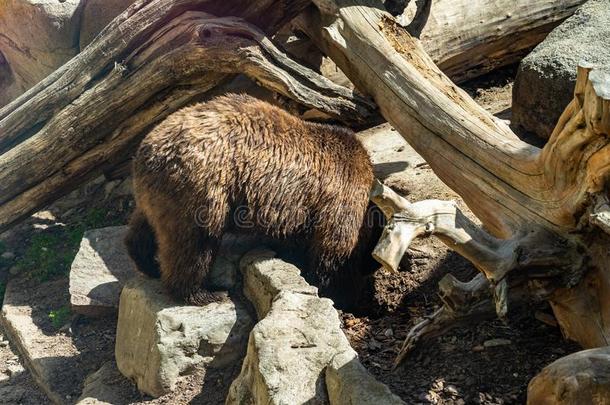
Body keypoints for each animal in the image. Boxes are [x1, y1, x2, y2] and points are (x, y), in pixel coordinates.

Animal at [123, 93, 380, 310]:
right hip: (202, 187)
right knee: (194, 243)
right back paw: (204, 292)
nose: (372, 267)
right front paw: (345, 297)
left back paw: (148, 264)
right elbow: (334, 256)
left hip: (157, 195)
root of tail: (147, 150)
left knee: (144, 226)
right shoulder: (339, 200)